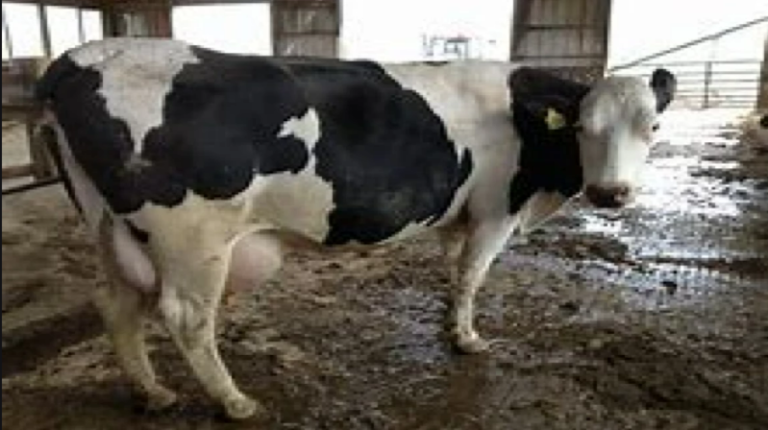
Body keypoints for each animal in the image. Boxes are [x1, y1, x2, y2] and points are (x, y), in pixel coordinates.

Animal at [35, 38, 676, 420]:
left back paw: (153, 392)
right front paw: (468, 339)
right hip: (192, 238)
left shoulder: (462, 213)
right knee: (186, 317)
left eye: (653, 127)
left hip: (109, 226)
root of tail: (82, 58)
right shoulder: (496, 210)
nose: (611, 193)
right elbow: (472, 275)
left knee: (117, 304)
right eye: (584, 128)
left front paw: (448, 325)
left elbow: (452, 271)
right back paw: (234, 401)